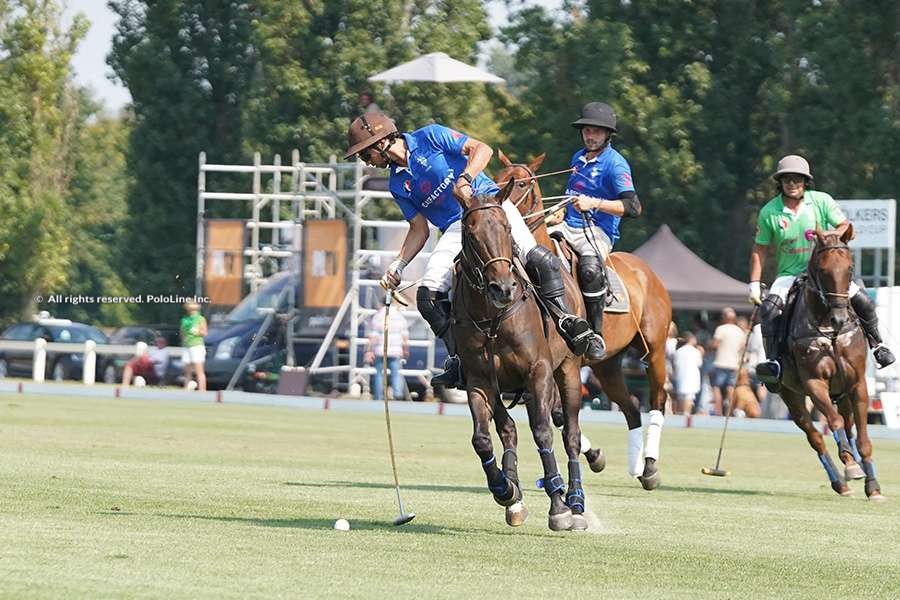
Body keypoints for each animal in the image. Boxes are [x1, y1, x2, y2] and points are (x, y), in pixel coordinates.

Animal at [454, 183, 596, 528]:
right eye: (470, 232)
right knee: (509, 429)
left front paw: (559, 507)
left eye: (506, 228)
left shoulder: (539, 370)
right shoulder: (478, 380)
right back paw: (514, 494)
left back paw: (575, 500)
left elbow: (544, 432)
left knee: (570, 434)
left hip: (568, 370)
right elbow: (481, 439)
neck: (492, 318)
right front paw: (505, 490)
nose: (503, 288)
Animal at [496, 150, 672, 488]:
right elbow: (558, 415)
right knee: (631, 405)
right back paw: (636, 465)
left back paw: (651, 467)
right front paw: (596, 456)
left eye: (522, 183)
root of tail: (649, 273)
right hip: (608, 364)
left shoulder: (564, 362)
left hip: (655, 348)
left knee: (658, 398)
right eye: (497, 178)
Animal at [776, 227, 884, 500]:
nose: (839, 319)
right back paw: (840, 481)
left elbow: (862, 437)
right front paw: (853, 467)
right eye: (823, 270)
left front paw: (873, 486)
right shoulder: (814, 383)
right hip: (790, 395)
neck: (829, 331)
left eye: (850, 268)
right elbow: (832, 423)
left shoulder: (857, 383)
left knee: (848, 426)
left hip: (842, 393)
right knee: (816, 437)